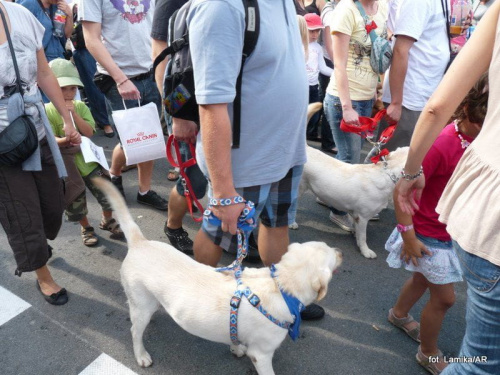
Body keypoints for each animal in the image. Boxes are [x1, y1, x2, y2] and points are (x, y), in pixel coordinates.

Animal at [93, 179, 344, 375]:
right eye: (332, 255)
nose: (341, 252)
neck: (280, 285)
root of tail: (140, 242)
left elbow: (235, 339)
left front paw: (236, 349)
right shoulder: (262, 354)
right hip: (141, 305)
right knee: (135, 331)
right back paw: (141, 354)